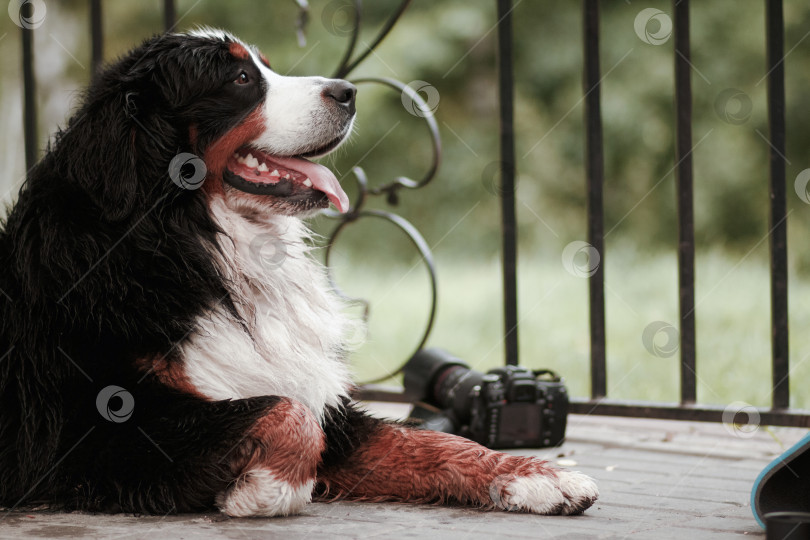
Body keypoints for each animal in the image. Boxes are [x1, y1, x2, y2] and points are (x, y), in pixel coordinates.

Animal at [0, 27, 596, 516]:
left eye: (265, 66)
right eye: (241, 78)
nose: (348, 92)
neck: (197, 242)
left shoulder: (328, 406)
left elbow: (428, 441)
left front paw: (538, 475)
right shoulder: (86, 434)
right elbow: (287, 415)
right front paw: (265, 488)